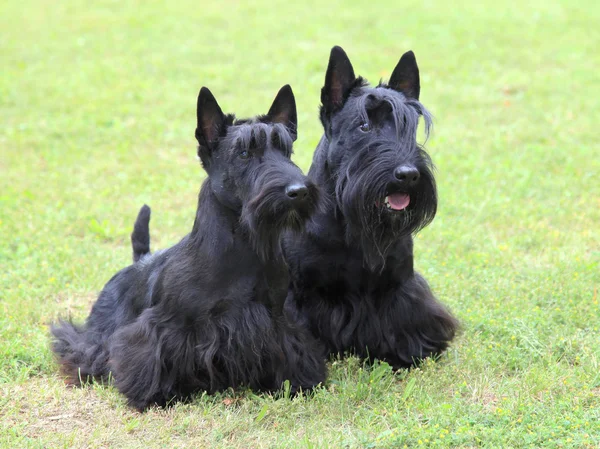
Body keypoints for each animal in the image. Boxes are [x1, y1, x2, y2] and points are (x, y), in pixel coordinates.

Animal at [50, 85, 328, 410]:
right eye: (244, 153)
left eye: (286, 151)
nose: (299, 191)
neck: (243, 250)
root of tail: (138, 261)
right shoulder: (165, 327)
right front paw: (156, 394)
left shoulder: (277, 320)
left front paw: (295, 382)